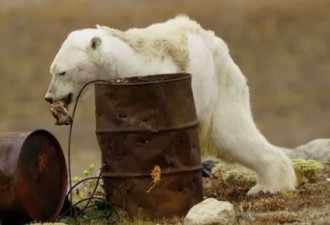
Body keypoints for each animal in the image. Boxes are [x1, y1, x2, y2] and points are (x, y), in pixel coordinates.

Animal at [45, 15, 296, 195]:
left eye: (62, 72)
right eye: (52, 70)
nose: (49, 97)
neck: (126, 61)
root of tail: (220, 47)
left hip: (220, 90)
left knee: (232, 135)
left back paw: (268, 186)